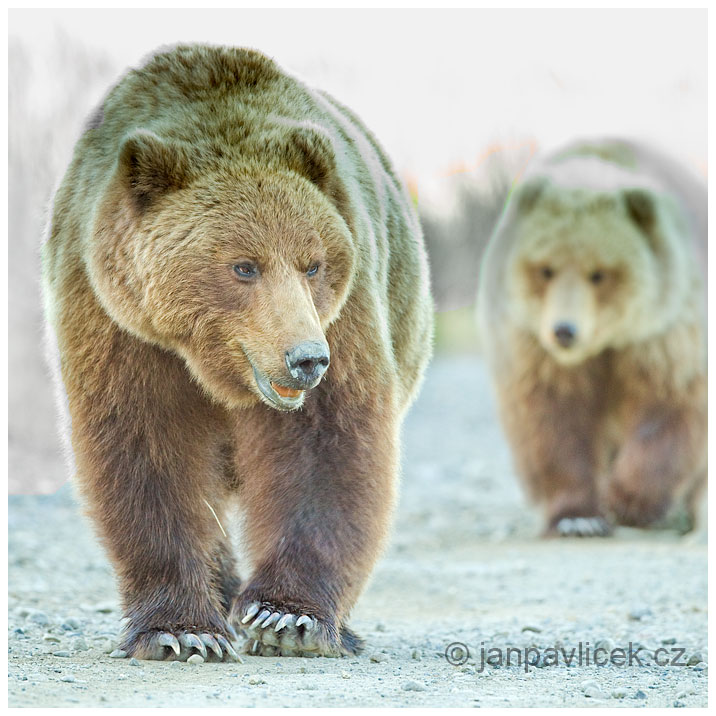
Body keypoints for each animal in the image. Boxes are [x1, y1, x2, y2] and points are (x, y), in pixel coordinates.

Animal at [44, 44, 434, 660]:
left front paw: (286, 616)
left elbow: (325, 447)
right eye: (243, 266)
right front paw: (182, 630)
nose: (306, 359)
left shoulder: (343, 316)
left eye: (313, 263)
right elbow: (145, 448)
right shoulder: (118, 324)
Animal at [478, 137, 708, 536]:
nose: (564, 331)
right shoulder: (532, 347)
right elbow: (553, 418)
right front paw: (578, 517)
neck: (605, 345)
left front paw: (630, 501)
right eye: (546, 268)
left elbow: (670, 405)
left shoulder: (662, 335)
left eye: (599, 273)